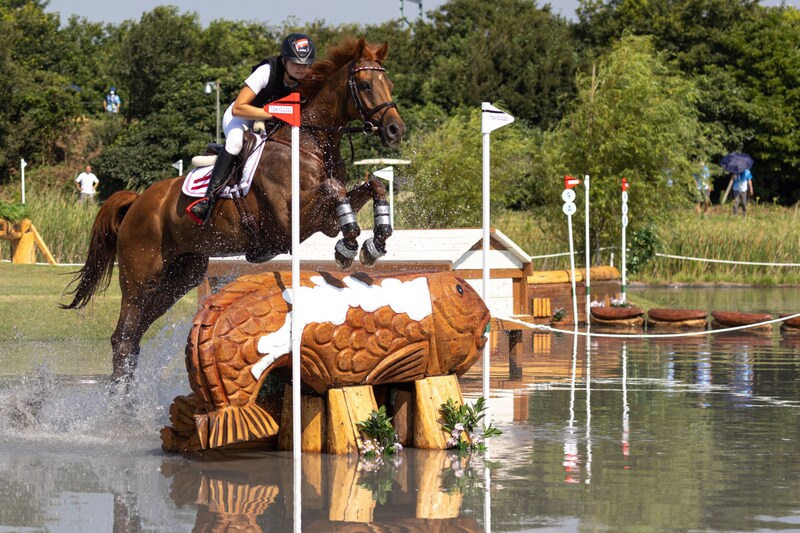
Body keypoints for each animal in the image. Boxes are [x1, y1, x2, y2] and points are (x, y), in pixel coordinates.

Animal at [62, 39, 406, 384]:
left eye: (390, 84)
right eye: (365, 85)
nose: (395, 131)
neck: (307, 143)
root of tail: (137, 202)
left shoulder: (323, 219)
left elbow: (374, 185)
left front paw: (374, 243)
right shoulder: (291, 221)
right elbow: (334, 189)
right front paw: (347, 247)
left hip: (179, 277)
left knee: (133, 338)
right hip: (140, 277)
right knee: (122, 337)